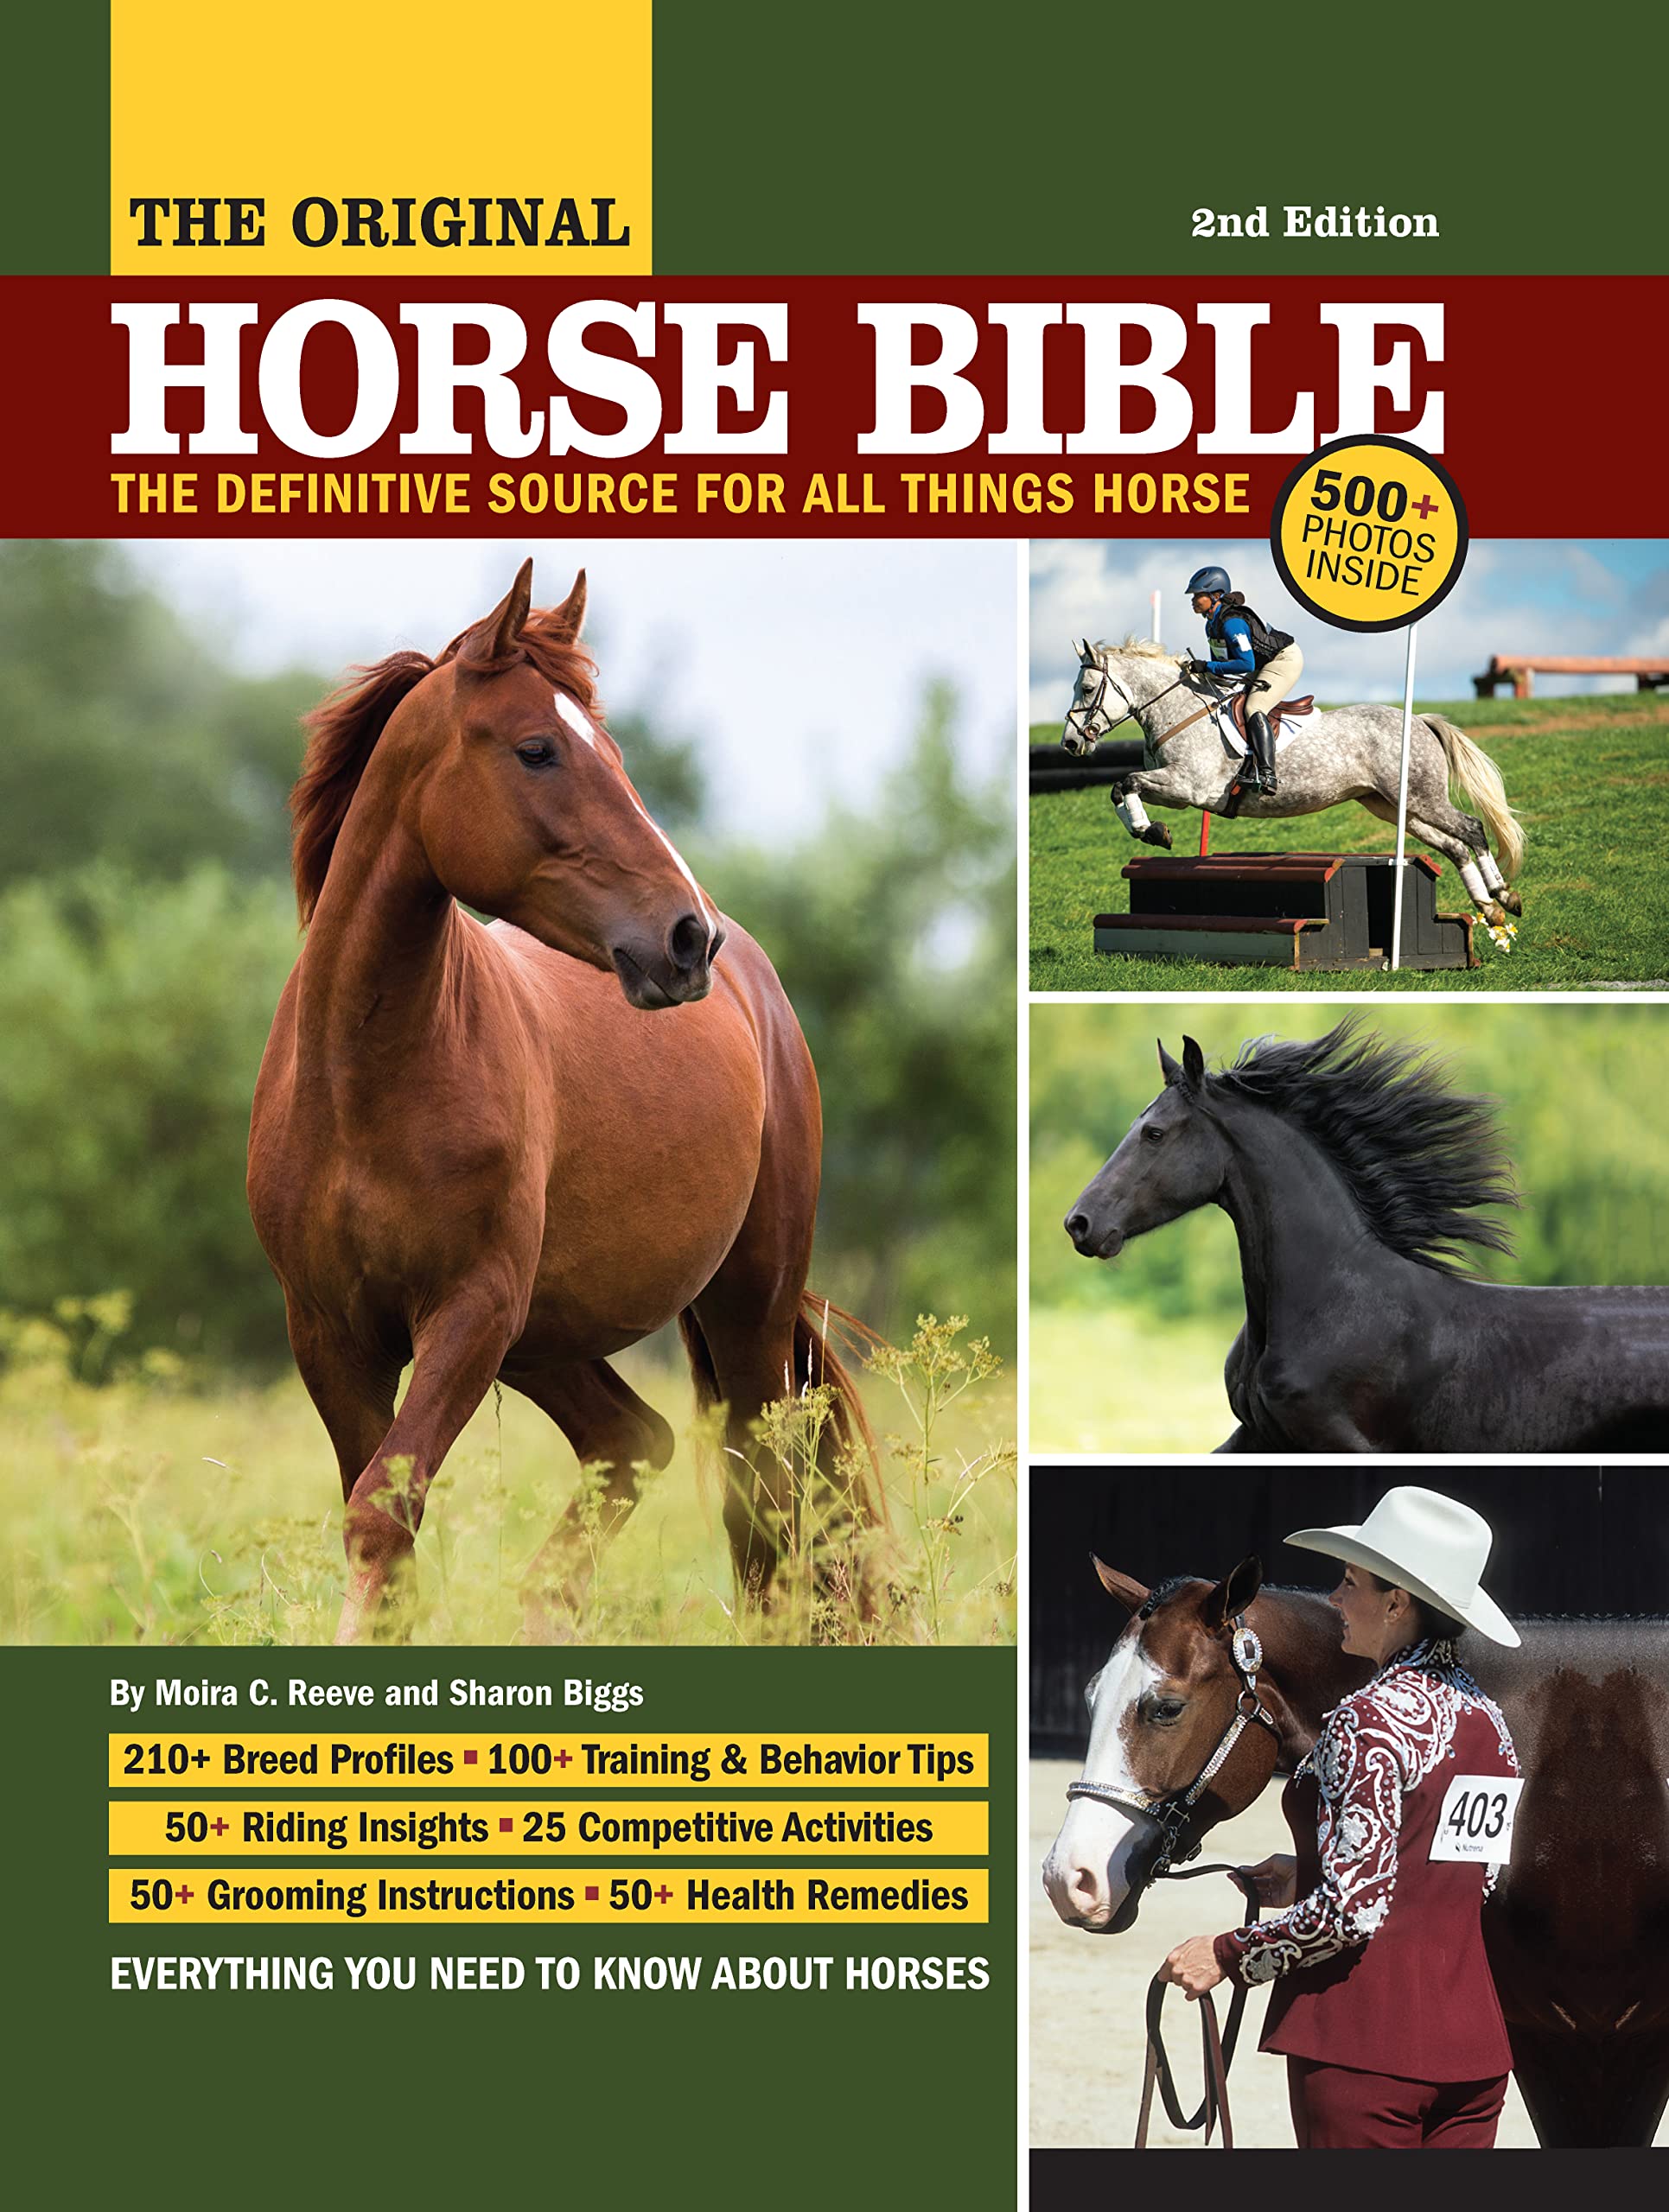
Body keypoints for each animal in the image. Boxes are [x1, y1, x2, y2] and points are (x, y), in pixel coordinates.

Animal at [247, 560, 885, 1645]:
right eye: (537, 749)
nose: (685, 939)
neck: (363, 1082)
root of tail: (756, 988)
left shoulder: (468, 1313)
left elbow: (383, 1511)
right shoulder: (330, 1334)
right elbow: (383, 1525)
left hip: (738, 1309)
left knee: (759, 1497)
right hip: (546, 1337)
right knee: (635, 1440)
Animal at [1058, 639, 1525, 943]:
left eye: (1087, 689)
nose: (1070, 743)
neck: (1179, 710)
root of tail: (1421, 720)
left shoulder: (1188, 786)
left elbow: (1126, 782)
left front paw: (1152, 832)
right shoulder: (1174, 786)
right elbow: (1120, 788)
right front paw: (1152, 831)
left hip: (1421, 799)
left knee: (1472, 829)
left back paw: (1505, 896)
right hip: (1395, 807)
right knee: (1455, 845)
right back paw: (1488, 908)